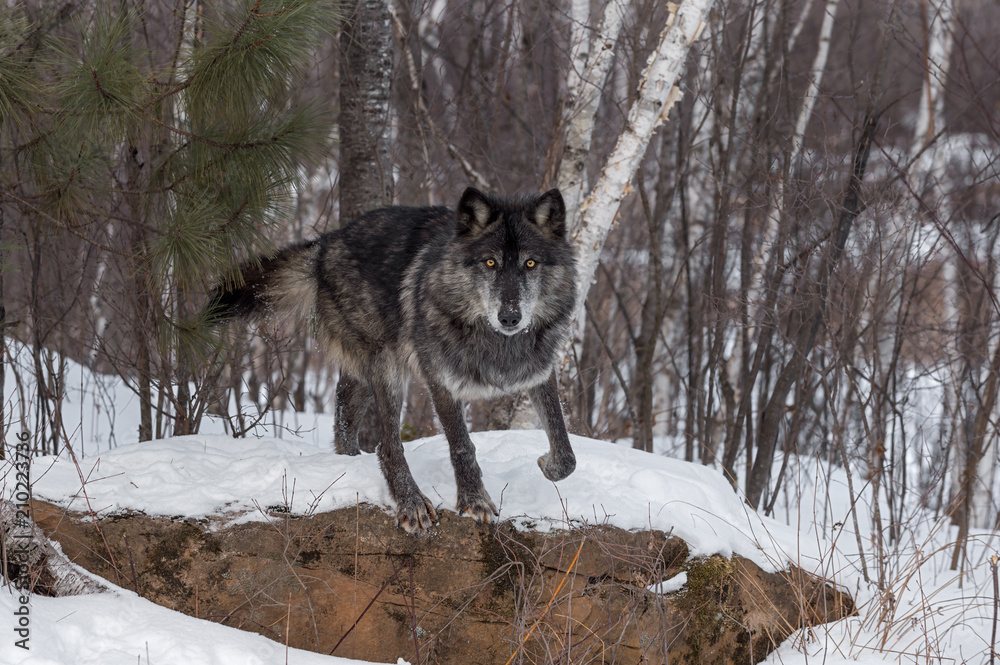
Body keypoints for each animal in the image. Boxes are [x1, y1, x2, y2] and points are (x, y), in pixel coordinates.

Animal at [207, 187, 578, 532]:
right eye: (490, 263)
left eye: (530, 263)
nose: (510, 317)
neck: (497, 342)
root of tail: (328, 241)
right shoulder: (441, 382)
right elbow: (462, 446)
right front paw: (474, 501)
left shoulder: (540, 373)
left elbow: (566, 451)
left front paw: (547, 464)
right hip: (387, 366)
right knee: (387, 446)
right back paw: (410, 503)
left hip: (365, 375)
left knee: (343, 414)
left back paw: (350, 462)